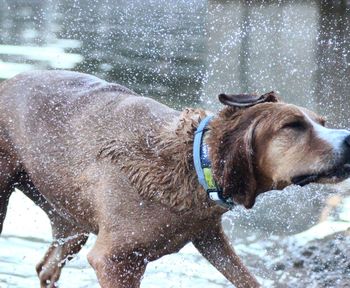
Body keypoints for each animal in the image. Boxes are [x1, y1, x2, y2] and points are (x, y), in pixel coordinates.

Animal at [0, 70, 350, 288]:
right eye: (292, 126)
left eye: (321, 122)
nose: (348, 138)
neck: (196, 162)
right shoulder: (114, 261)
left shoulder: (208, 234)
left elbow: (244, 277)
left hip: (70, 220)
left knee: (47, 265)